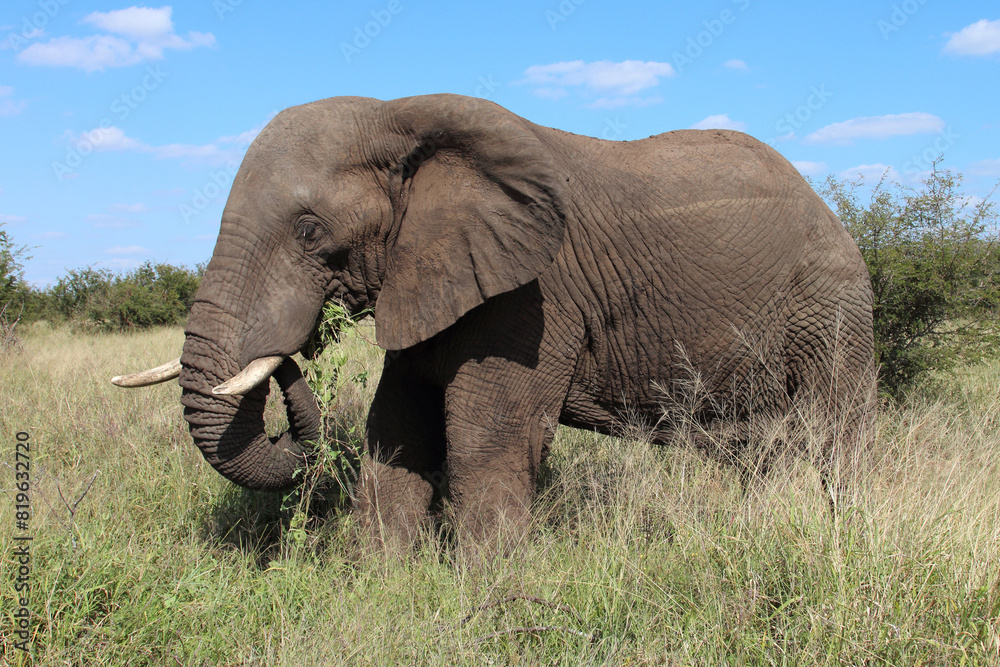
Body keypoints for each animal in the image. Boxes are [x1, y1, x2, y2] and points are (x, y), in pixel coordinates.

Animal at [113, 93, 874, 546]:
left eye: (307, 231)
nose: (292, 358)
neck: (398, 116)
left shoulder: (535, 294)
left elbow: (486, 439)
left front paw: (487, 593)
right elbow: (397, 430)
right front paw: (382, 577)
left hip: (833, 308)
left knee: (833, 436)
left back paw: (842, 535)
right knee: (761, 455)